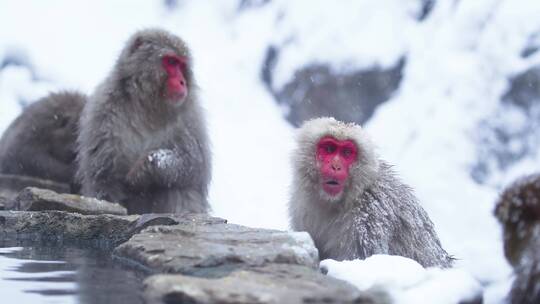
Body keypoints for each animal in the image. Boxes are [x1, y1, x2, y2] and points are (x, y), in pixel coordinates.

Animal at [76, 27, 211, 214]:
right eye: (171, 62)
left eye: (182, 65)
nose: (182, 81)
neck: (148, 106)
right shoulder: (102, 112)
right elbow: (104, 177)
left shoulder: (191, 118)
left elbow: (195, 165)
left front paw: (146, 168)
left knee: (179, 188)